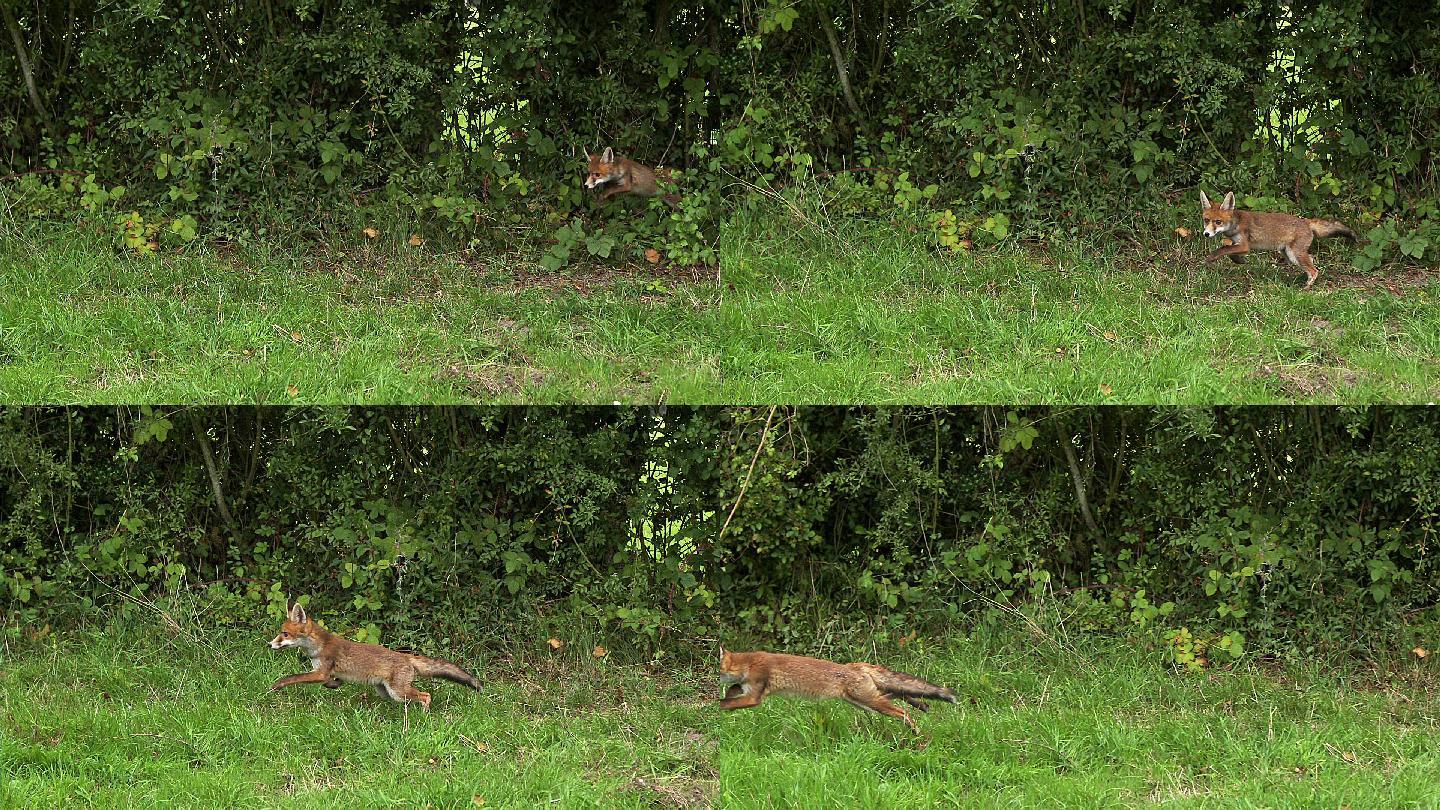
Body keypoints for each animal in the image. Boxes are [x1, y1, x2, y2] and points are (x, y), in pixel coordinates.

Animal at [263, 599, 478, 706]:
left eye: (284, 634)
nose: (269, 645)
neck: (318, 647)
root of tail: (405, 655)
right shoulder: (325, 674)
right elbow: (330, 682)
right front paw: (334, 685)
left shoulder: (320, 672)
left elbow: (293, 678)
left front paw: (277, 685)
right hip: (386, 692)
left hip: (398, 692)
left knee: (426, 695)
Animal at [717, 645, 956, 735]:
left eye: (719, 668)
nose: (716, 677)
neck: (749, 664)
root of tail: (854, 665)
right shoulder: (747, 690)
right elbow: (733, 690)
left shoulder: (755, 697)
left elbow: (726, 703)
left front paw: (717, 708)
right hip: (864, 701)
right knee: (901, 694)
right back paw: (922, 706)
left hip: (869, 701)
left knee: (902, 711)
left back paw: (916, 731)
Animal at [1198, 188, 1353, 286]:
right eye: (1206, 220)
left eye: (1218, 222)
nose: (1206, 234)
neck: (1235, 224)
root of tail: (1306, 221)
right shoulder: (1237, 244)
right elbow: (1229, 251)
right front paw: (1239, 261)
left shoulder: (1245, 246)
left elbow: (1223, 249)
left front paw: (1212, 257)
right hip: (1289, 254)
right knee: (1311, 260)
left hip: (1294, 254)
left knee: (1314, 270)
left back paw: (1306, 288)